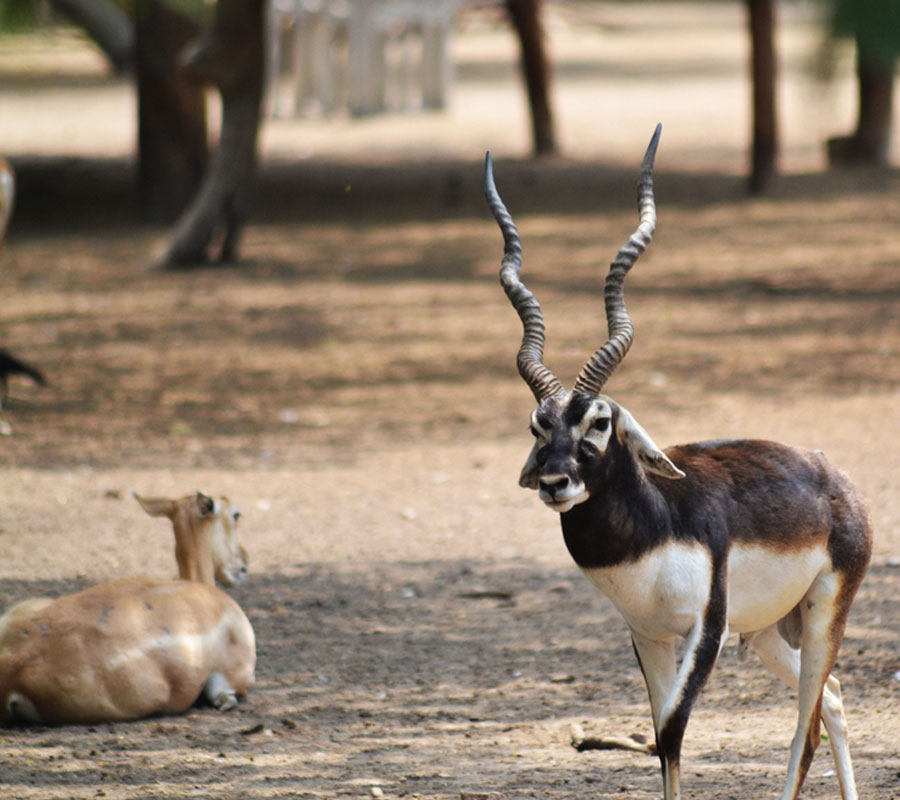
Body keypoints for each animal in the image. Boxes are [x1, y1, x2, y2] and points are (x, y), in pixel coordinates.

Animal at [486, 125, 872, 800]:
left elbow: (672, 729)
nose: (556, 482)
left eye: (600, 422)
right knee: (834, 696)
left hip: (825, 610)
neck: (653, 529)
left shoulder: (705, 630)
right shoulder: (646, 634)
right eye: (539, 425)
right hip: (768, 630)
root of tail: (833, 478)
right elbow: (662, 740)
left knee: (806, 725)